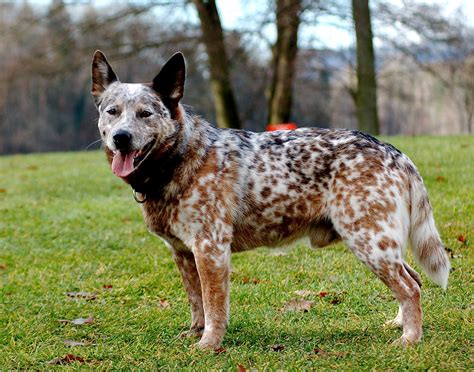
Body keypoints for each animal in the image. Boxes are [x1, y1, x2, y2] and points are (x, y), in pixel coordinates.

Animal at [90, 50, 450, 350]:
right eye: (113, 112)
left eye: (146, 113)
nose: (121, 138)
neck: (182, 157)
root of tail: (395, 152)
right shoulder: (183, 253)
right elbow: (196, 303)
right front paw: (195, 332)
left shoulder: (210, 249)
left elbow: (213, 306)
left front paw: (209, 344)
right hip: (380, 241)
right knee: (414, 279)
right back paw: (401, 324)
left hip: (369, 240)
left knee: (410, 286)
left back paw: (410, 338)